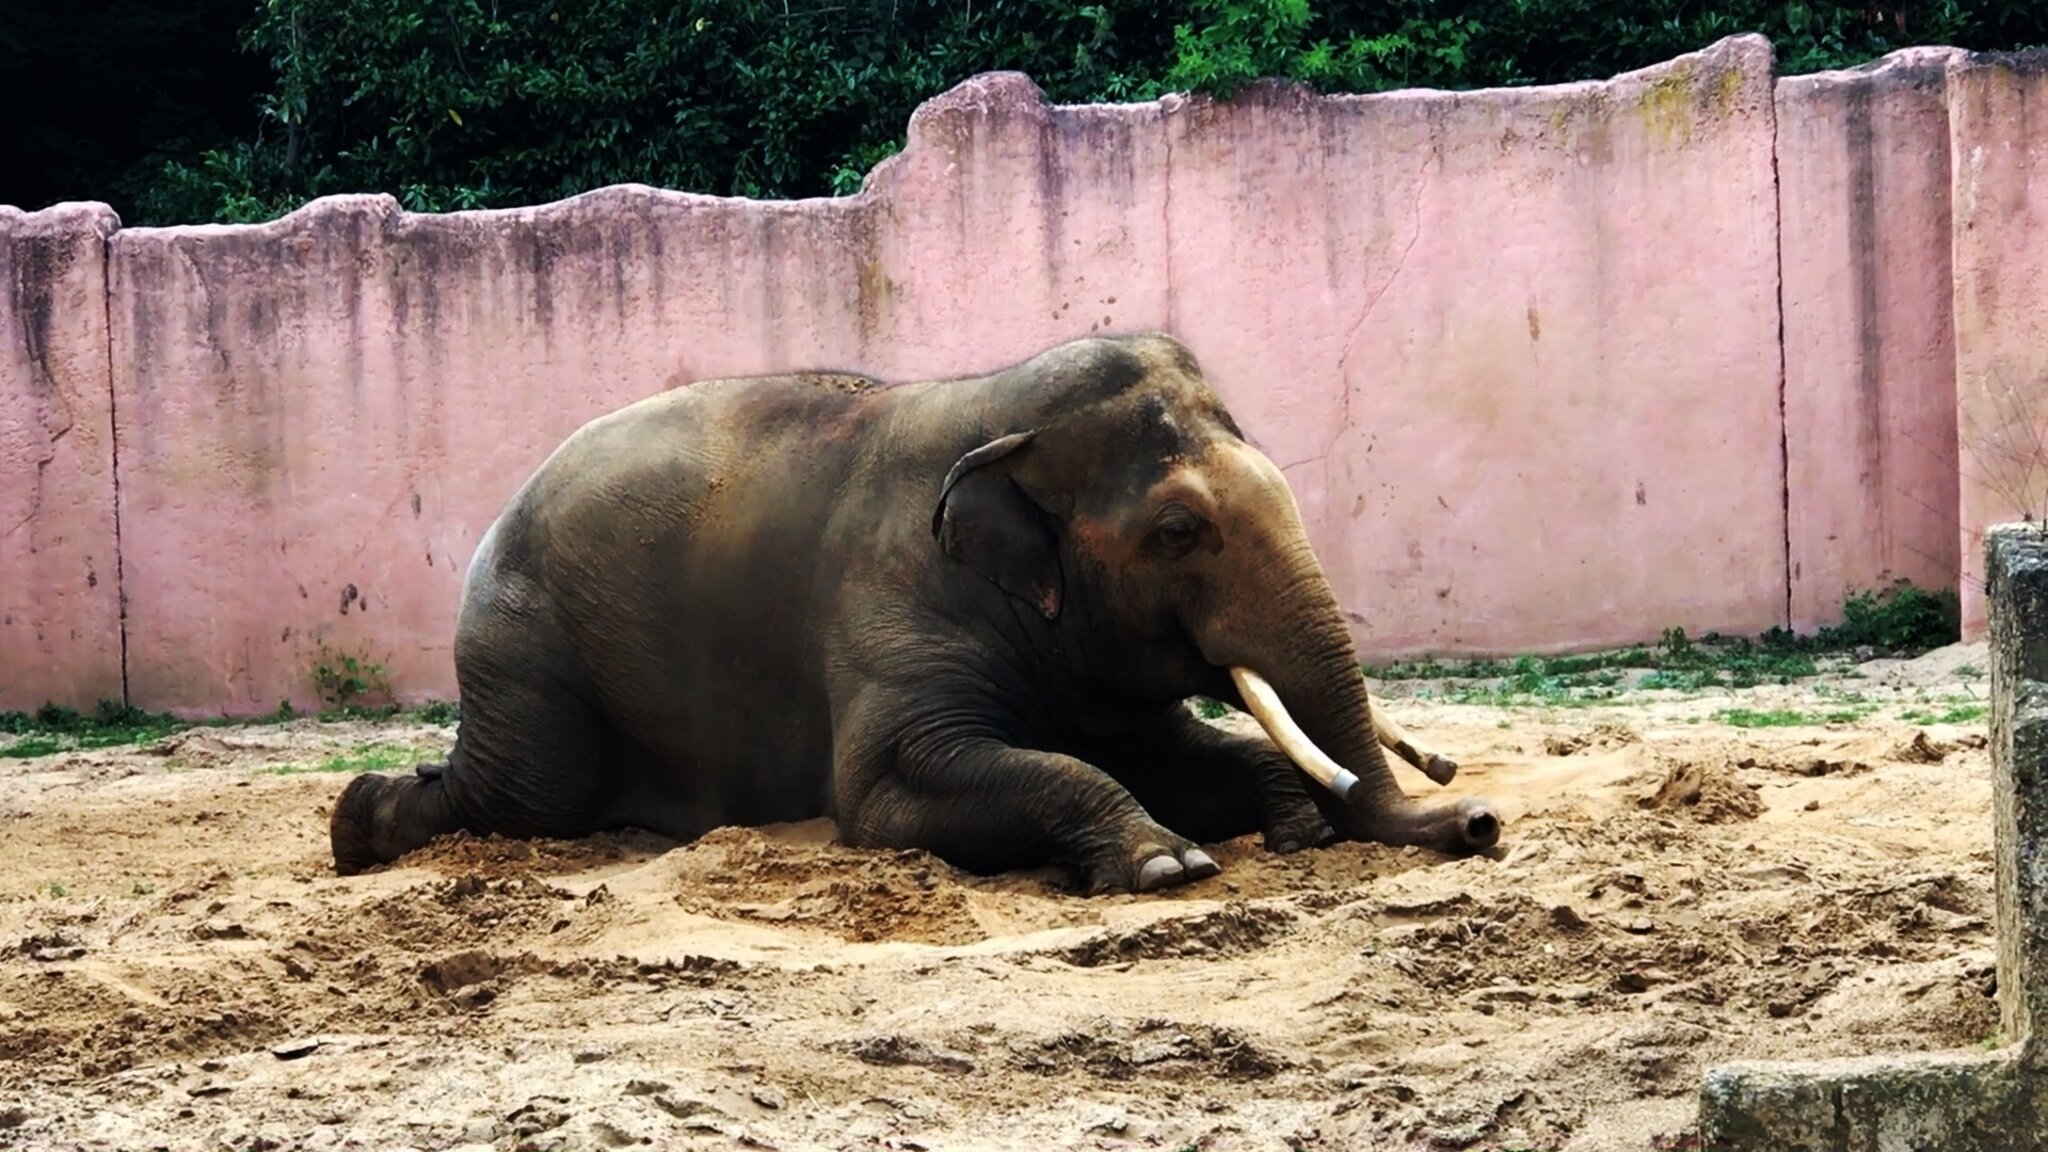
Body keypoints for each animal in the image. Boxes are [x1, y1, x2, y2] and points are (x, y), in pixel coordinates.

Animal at [329, 331, 1501, 893]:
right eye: (1177, 530)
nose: (1480, 820)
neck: (999, 412)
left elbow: (1167, 755)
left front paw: (1293, 823)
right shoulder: (887, 597)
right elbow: (890, 791)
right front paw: (1168, 864)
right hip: (528, 647)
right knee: (532, 793)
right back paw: (356, 823)